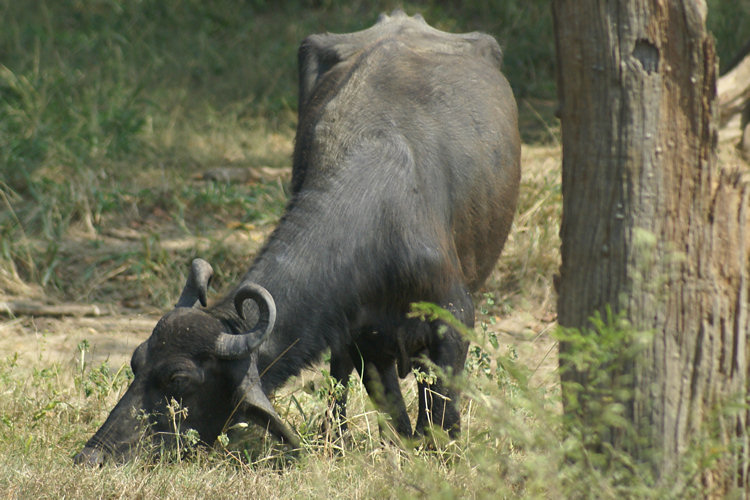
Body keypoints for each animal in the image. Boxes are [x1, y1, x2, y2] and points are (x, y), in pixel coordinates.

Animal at [76, 9, 524, 466]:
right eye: (136, 361)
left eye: (178, 380)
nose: (92, 454)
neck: (380, 215)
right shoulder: (364, 337)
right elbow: (390, 408)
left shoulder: (453, 319)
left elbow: (440, 411)